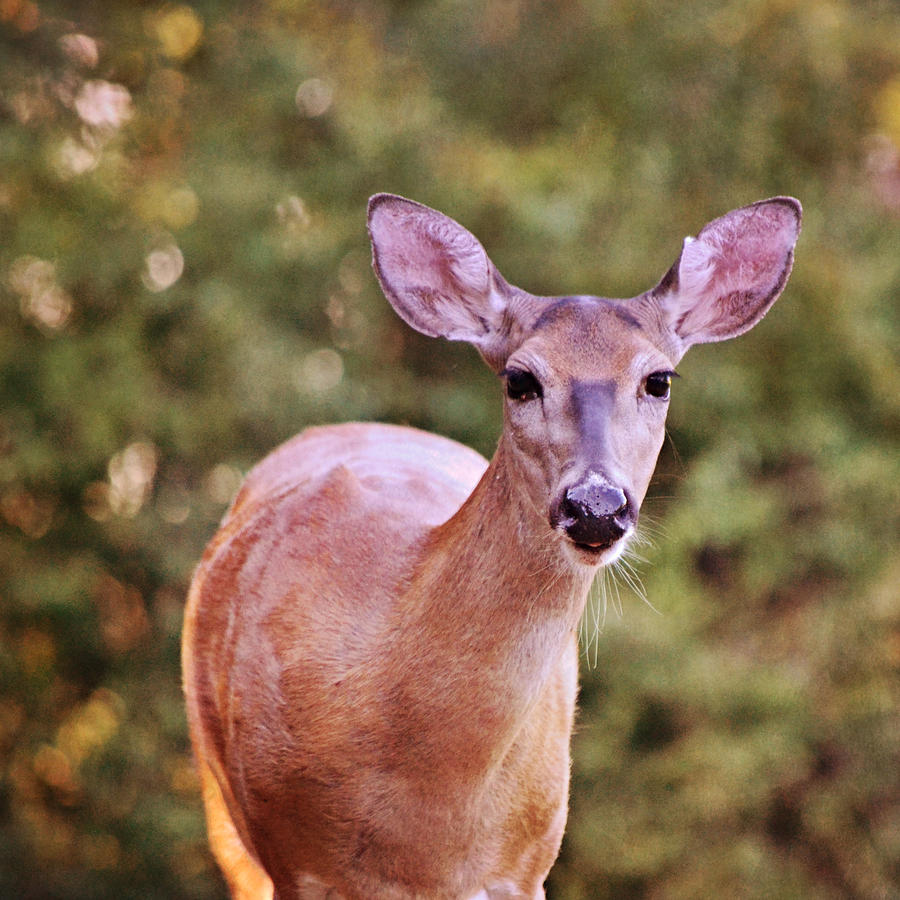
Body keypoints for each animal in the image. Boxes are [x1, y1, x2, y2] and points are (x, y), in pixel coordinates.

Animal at [183, 195, 800, 900]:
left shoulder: (523, 866)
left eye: (659, 379)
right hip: (223, 817)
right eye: (520, 379)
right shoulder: (296, 859)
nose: (595, 505)